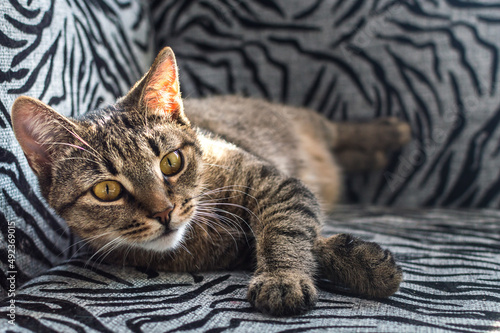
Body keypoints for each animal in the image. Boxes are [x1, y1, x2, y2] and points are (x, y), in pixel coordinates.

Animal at [10, 46, 410, 314]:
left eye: (171, 162)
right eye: (107, 190)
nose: (164, 211)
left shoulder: (276, 182)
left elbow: (286, 227)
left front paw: (284, 277)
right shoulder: (238, 246)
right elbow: (304, 239)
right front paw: (355, 262)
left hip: (307, 122)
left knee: (338, 132)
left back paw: (391, 131)